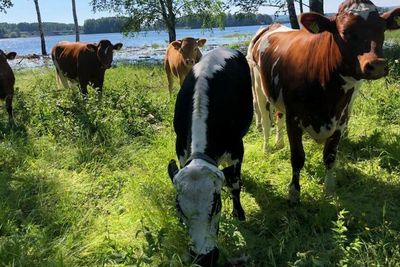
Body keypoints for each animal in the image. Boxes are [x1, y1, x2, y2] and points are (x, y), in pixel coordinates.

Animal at [167, 47, 252, 266]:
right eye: (179, 208)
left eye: (216, 205)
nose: (204, 258)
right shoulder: (180, 148)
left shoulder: (237, 148)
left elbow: (234, 184)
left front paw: (238, 214)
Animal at [250, 0, 400, 205]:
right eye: (345, 31)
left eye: (382, 29)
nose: (377, 65)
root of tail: (273, 26)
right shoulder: (294, 119)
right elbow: (297, 157)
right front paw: (294, 193)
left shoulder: (341, 119)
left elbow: (330, 156)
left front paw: (329, 191)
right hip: (259, 88)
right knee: (265, 121)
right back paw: (267, 148)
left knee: (278, 116)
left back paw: (279, 143)